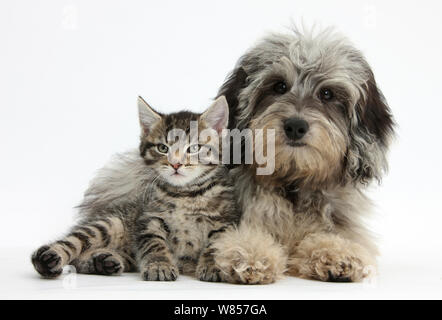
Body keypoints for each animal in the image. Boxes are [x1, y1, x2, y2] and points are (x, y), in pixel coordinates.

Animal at [31, 95, 240, 282]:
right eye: (163, 148)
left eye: (194, 148)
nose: (175, 164)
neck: (185, 194)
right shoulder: (148, 219)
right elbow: (154, 243)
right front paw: (159, 265)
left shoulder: (225, 222)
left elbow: (216, 245)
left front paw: (213, 265)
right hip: (110, 223)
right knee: (74, 244)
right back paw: (49, 259)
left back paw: (103, 261)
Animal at [211, 27, 394, 282]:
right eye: (279, 86)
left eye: (327, 93)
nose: (295, 126)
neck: (293, 184)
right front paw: (249, 253)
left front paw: (337, 253)